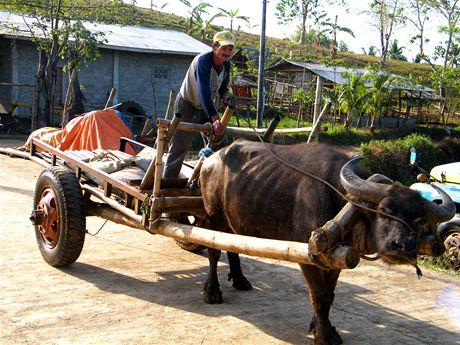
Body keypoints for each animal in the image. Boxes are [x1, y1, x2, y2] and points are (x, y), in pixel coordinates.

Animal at [199, 139, 454, 344]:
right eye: (384, 210)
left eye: (419, 219)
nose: (403, 246)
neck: (340, 200)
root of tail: (211, 159)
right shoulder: (308, 256)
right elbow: (319, 295)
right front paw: (324, 335)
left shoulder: (337, 256)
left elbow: (329, 294)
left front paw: (320, 325)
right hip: (213, 217)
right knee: (213, 250)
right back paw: (212, 291)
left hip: (231, 220)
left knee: (230, 245)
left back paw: (240, 280)